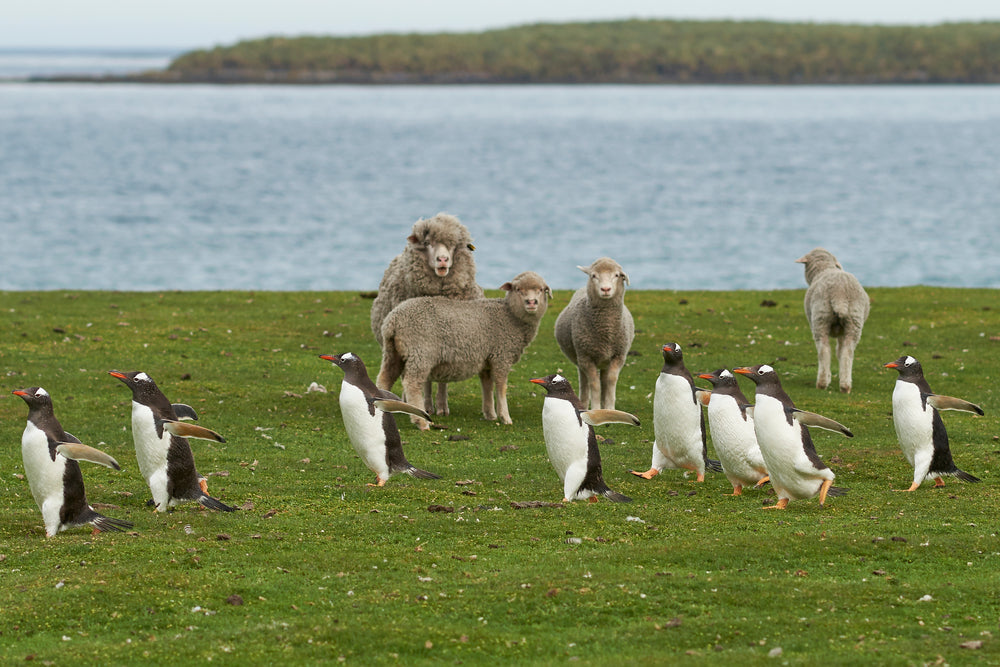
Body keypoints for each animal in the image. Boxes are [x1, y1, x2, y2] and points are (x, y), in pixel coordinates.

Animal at [372, 211, 488, 414]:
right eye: (427, 243)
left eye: (454, 245)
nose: (443, 260)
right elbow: (424, 380)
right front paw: (426, 405)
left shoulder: (451, 345)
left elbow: (443, 379)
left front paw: (442, 407)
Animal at [376, 272, 552, 434]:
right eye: (518, 289)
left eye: (541, 290)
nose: (531, 302)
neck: (510, 316)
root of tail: (394, 319)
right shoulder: (501, 356)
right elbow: (501, 387)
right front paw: (505, 417)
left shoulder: (487, 360)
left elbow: (487, 387)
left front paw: (490, 414)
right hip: (421, 352)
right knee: (411, 383)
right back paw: (422, 423)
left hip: (393, 353)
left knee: (384, 379)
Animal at [552, 258, 636, 410]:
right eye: (593, 275)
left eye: (617, 275)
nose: (605, 289)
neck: (606, 331)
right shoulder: (586, 357)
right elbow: (594, 384)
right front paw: (596, 408)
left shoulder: (619, 356)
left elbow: (611, 380)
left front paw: (609, 408)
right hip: (580, 358)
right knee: (584, 381)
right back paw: (585, 404)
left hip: (604, 361)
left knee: (604, 379)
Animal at [796, 250, 868, 396]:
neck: (825, 269)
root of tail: (839, 293)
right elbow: (839, 352)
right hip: (853, 321)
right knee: (847, 352)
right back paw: (845, 385)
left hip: (820, 319)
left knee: (824, 351)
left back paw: (823, 383)